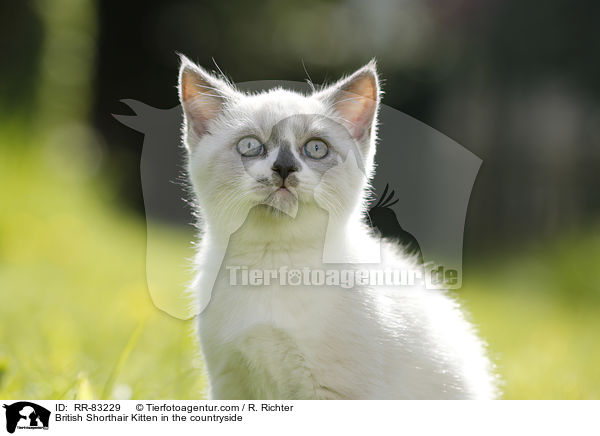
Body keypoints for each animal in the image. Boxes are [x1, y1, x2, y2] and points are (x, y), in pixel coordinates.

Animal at [178, 54, 496, 398]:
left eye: (316, 149)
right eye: (250, 146)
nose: (284, 167)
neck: (273, 262)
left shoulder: (334, 392)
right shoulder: (231, 383)